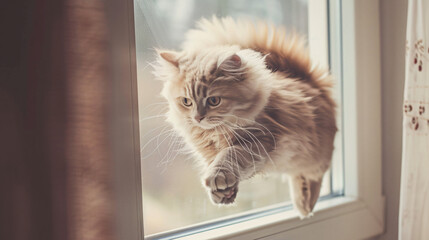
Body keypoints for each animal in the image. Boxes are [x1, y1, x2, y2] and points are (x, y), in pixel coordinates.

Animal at [152, 16, 336, 218]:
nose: (198, 118)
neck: (215, 133)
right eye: (186, 101)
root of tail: (309, 82)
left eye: (214, 101)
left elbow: (229, 155)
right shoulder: (211, 153)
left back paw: (305, 204)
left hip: (315, 155)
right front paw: (223, 194)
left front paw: (217, 177)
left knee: (314, 175)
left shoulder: (259, 140)